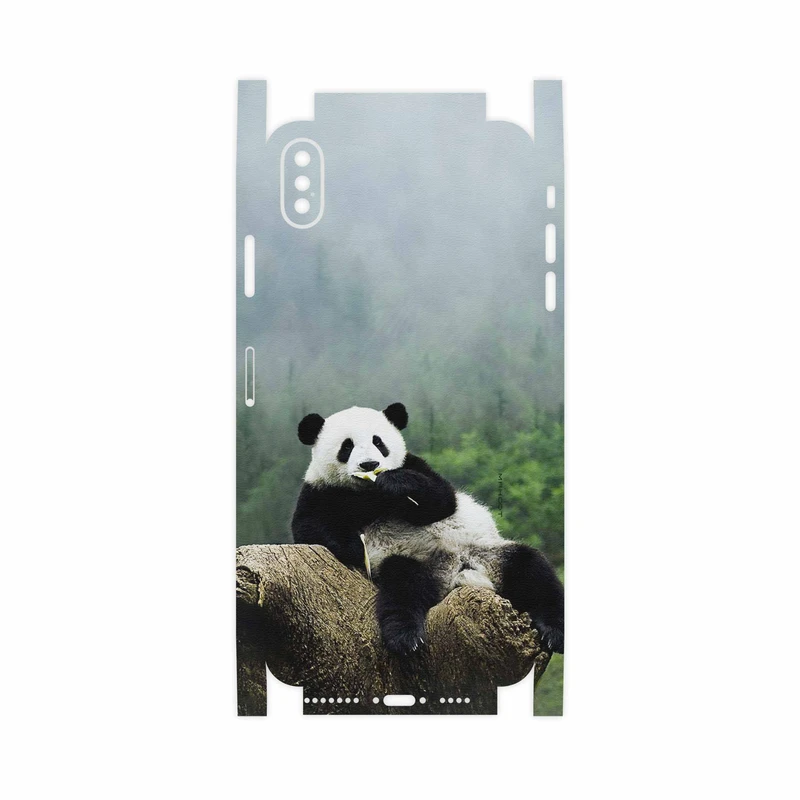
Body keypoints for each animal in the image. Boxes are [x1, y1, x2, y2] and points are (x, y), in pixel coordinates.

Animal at [291, 403, 565, 655]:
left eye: (378, 442)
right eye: (346, 446)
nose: (370, 464)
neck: (369, 494)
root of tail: (458, 572)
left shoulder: (415, 465)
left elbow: (442, 500)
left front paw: (395, 483)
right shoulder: (321, 491)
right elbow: (309, 527)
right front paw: (355, 547)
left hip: (489, 553)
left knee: (532, 570)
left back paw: (554, 632)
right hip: (414, 562)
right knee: (402, 588)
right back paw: (406, 637)